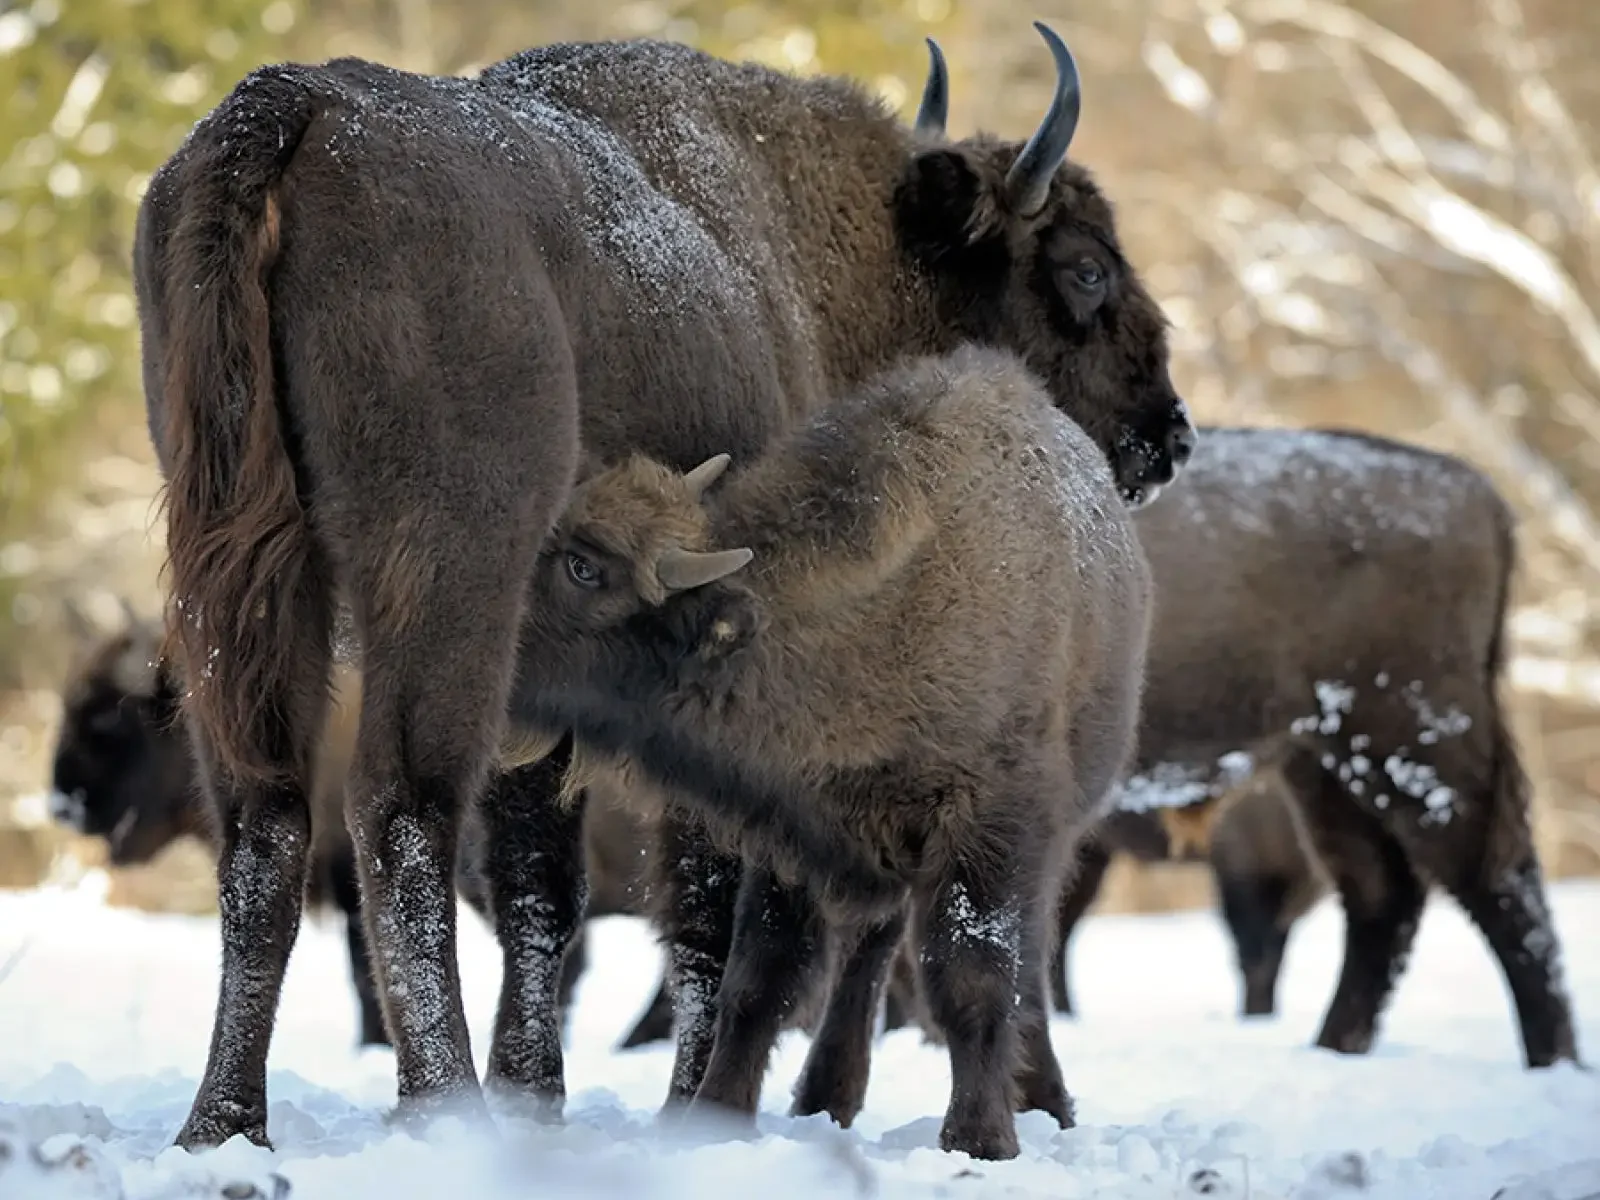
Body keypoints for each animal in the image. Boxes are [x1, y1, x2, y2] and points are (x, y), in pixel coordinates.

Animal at [512, 347, 1152, 1164]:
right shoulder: (795, 830)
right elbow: (760, 978)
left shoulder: (990, 828)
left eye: (584, 568)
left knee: (1023, 962)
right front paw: (716, 1120)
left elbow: (973, 976)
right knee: (868, 957)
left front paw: (979, 1141)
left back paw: (1045, 1105)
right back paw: (827, 1099)